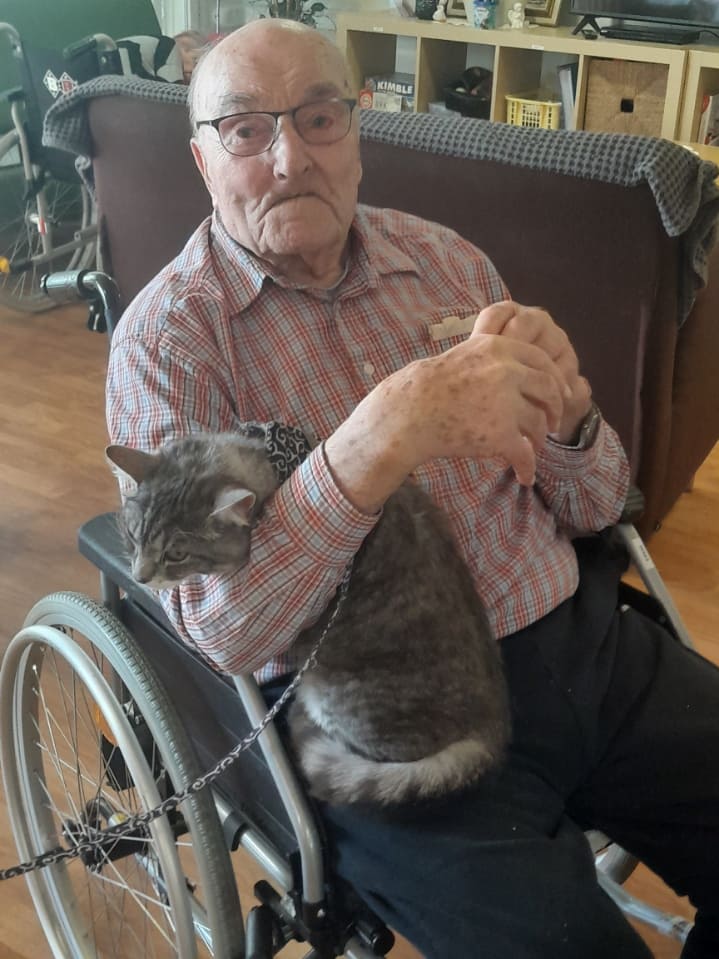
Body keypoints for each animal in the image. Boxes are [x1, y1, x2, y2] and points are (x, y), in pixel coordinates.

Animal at [106, 427, 511, 806]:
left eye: (176, 554)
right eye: (132, 534)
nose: (140, 577)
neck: (275, 465)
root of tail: (492, 727)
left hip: (336, 694)